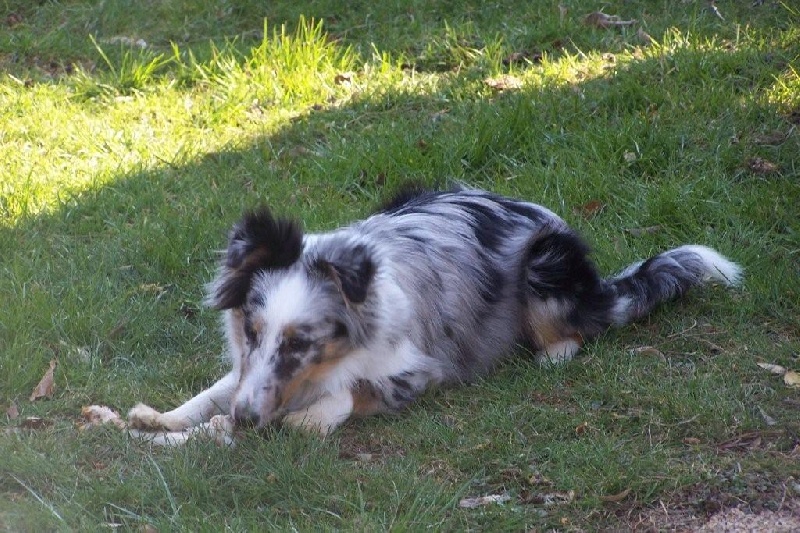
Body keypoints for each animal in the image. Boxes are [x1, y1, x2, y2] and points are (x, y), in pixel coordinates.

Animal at [128, 186, 740, 436]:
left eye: (303, 342)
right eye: (252, 332)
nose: (247, 422)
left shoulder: (420, 370)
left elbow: (350, 393)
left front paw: (308, 419)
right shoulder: (245, 370)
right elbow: (214, 392)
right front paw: (161, 418)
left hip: (546, 267)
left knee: (576, 329)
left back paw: (550, 357)